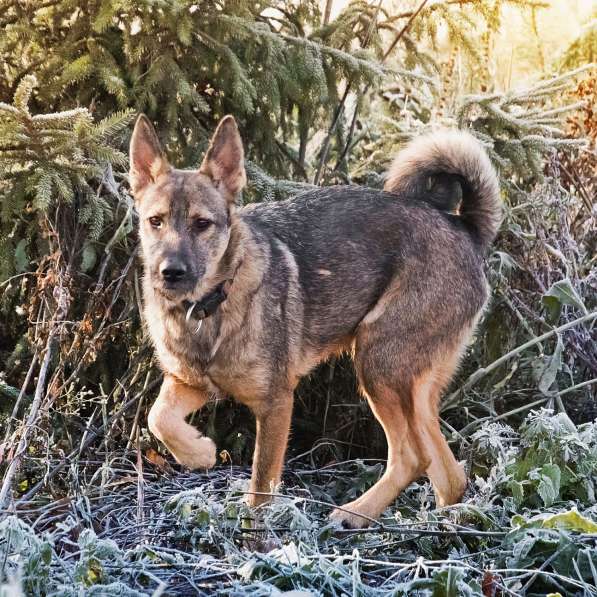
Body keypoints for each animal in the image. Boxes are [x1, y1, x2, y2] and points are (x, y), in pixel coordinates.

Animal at [129, 115, 498, 528]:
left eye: (201, 224)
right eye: (155, 221)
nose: (170, 273)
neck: (209, 306)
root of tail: (466, 229)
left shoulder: (276, 403)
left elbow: (260, 487)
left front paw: (252, 532)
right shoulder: (190, 383)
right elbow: (158, 418)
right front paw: (197, 452)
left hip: (378, 365)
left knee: (415, 458)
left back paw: (357, 514)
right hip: (411, 388)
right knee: (449, 475)